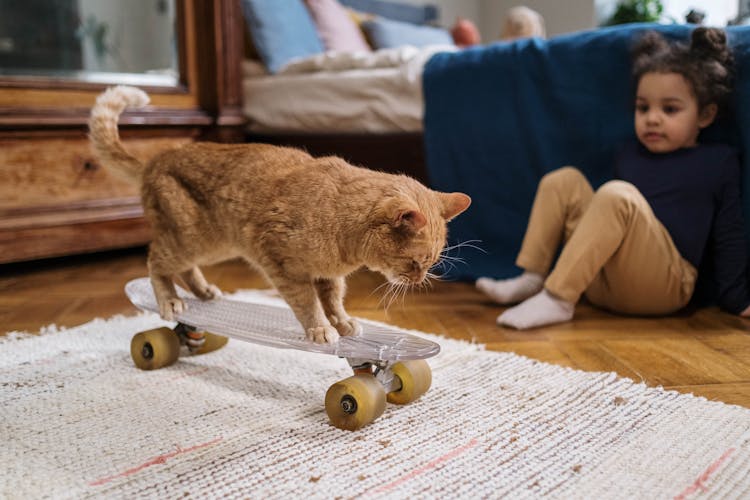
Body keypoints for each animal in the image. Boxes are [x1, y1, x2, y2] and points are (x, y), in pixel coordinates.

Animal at [89, 86, 470, 344]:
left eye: (431, 263)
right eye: (415, 262)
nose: (419, 281)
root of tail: (155, 160)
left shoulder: (328, 276)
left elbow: (333, 301)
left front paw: (342, 322)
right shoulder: (285, 268)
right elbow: (308, 304)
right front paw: (321, 329)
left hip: (212, 247)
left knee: (184, 268)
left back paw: (204, 292)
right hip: (191, 239)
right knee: (156, 261)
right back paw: (169, 299)